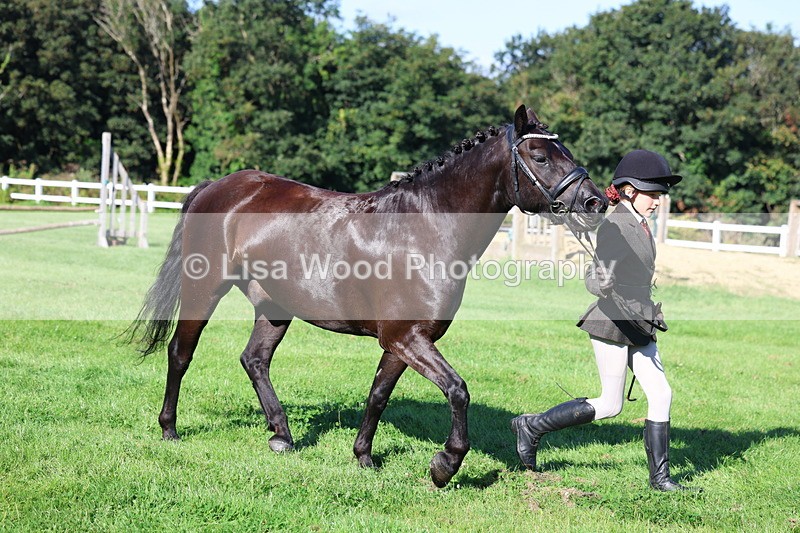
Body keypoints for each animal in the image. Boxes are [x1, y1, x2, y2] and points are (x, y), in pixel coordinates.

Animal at [129, 105, 608, 487]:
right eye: (541, 156)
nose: (595, 203)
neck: (425, 229)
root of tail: (219, 186)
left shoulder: (401, 342)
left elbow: (378, 395)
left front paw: (364, 456)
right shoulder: (406, 338)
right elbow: (457, 390)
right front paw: (444, 464)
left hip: (275, 307)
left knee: (254, 360)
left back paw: (282, 436)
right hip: (204, 289)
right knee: (180, 353)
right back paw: (170, 429)